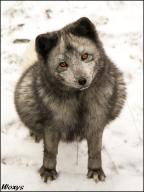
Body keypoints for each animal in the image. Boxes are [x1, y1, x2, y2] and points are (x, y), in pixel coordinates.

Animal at [14, 17, 126, 183]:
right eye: (63, 64)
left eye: (85, 56)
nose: (82, 80)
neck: (79, 101)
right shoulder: (51, 126)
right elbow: (50, 151)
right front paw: (48, 171)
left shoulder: (96, 123)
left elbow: (95, 151)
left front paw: (95, 171)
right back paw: (35, 133)